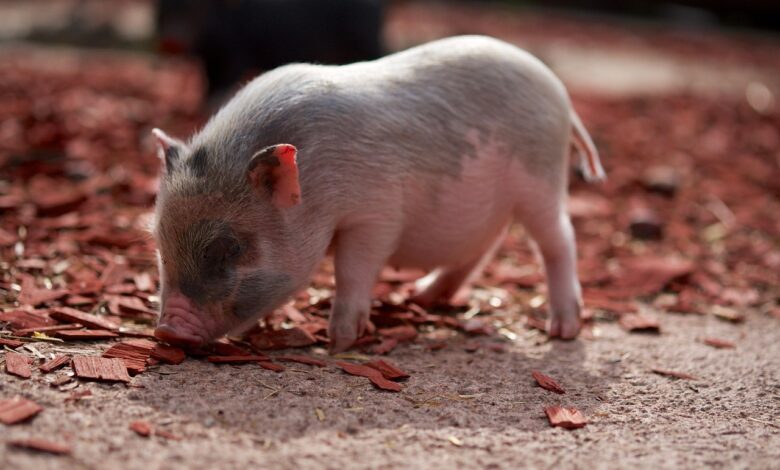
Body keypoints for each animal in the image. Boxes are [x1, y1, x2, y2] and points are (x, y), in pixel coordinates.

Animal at [151, 35, 605, 353]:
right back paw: (419, 295)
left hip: (541, 180)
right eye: (160, 245)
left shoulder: (375, 214)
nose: (168, 330)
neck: (316, 179)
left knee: (560, 239)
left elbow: (353, 269)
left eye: (230, 249)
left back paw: (563, 330)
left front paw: (339, 341)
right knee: (484, 247)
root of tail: (561, 93)